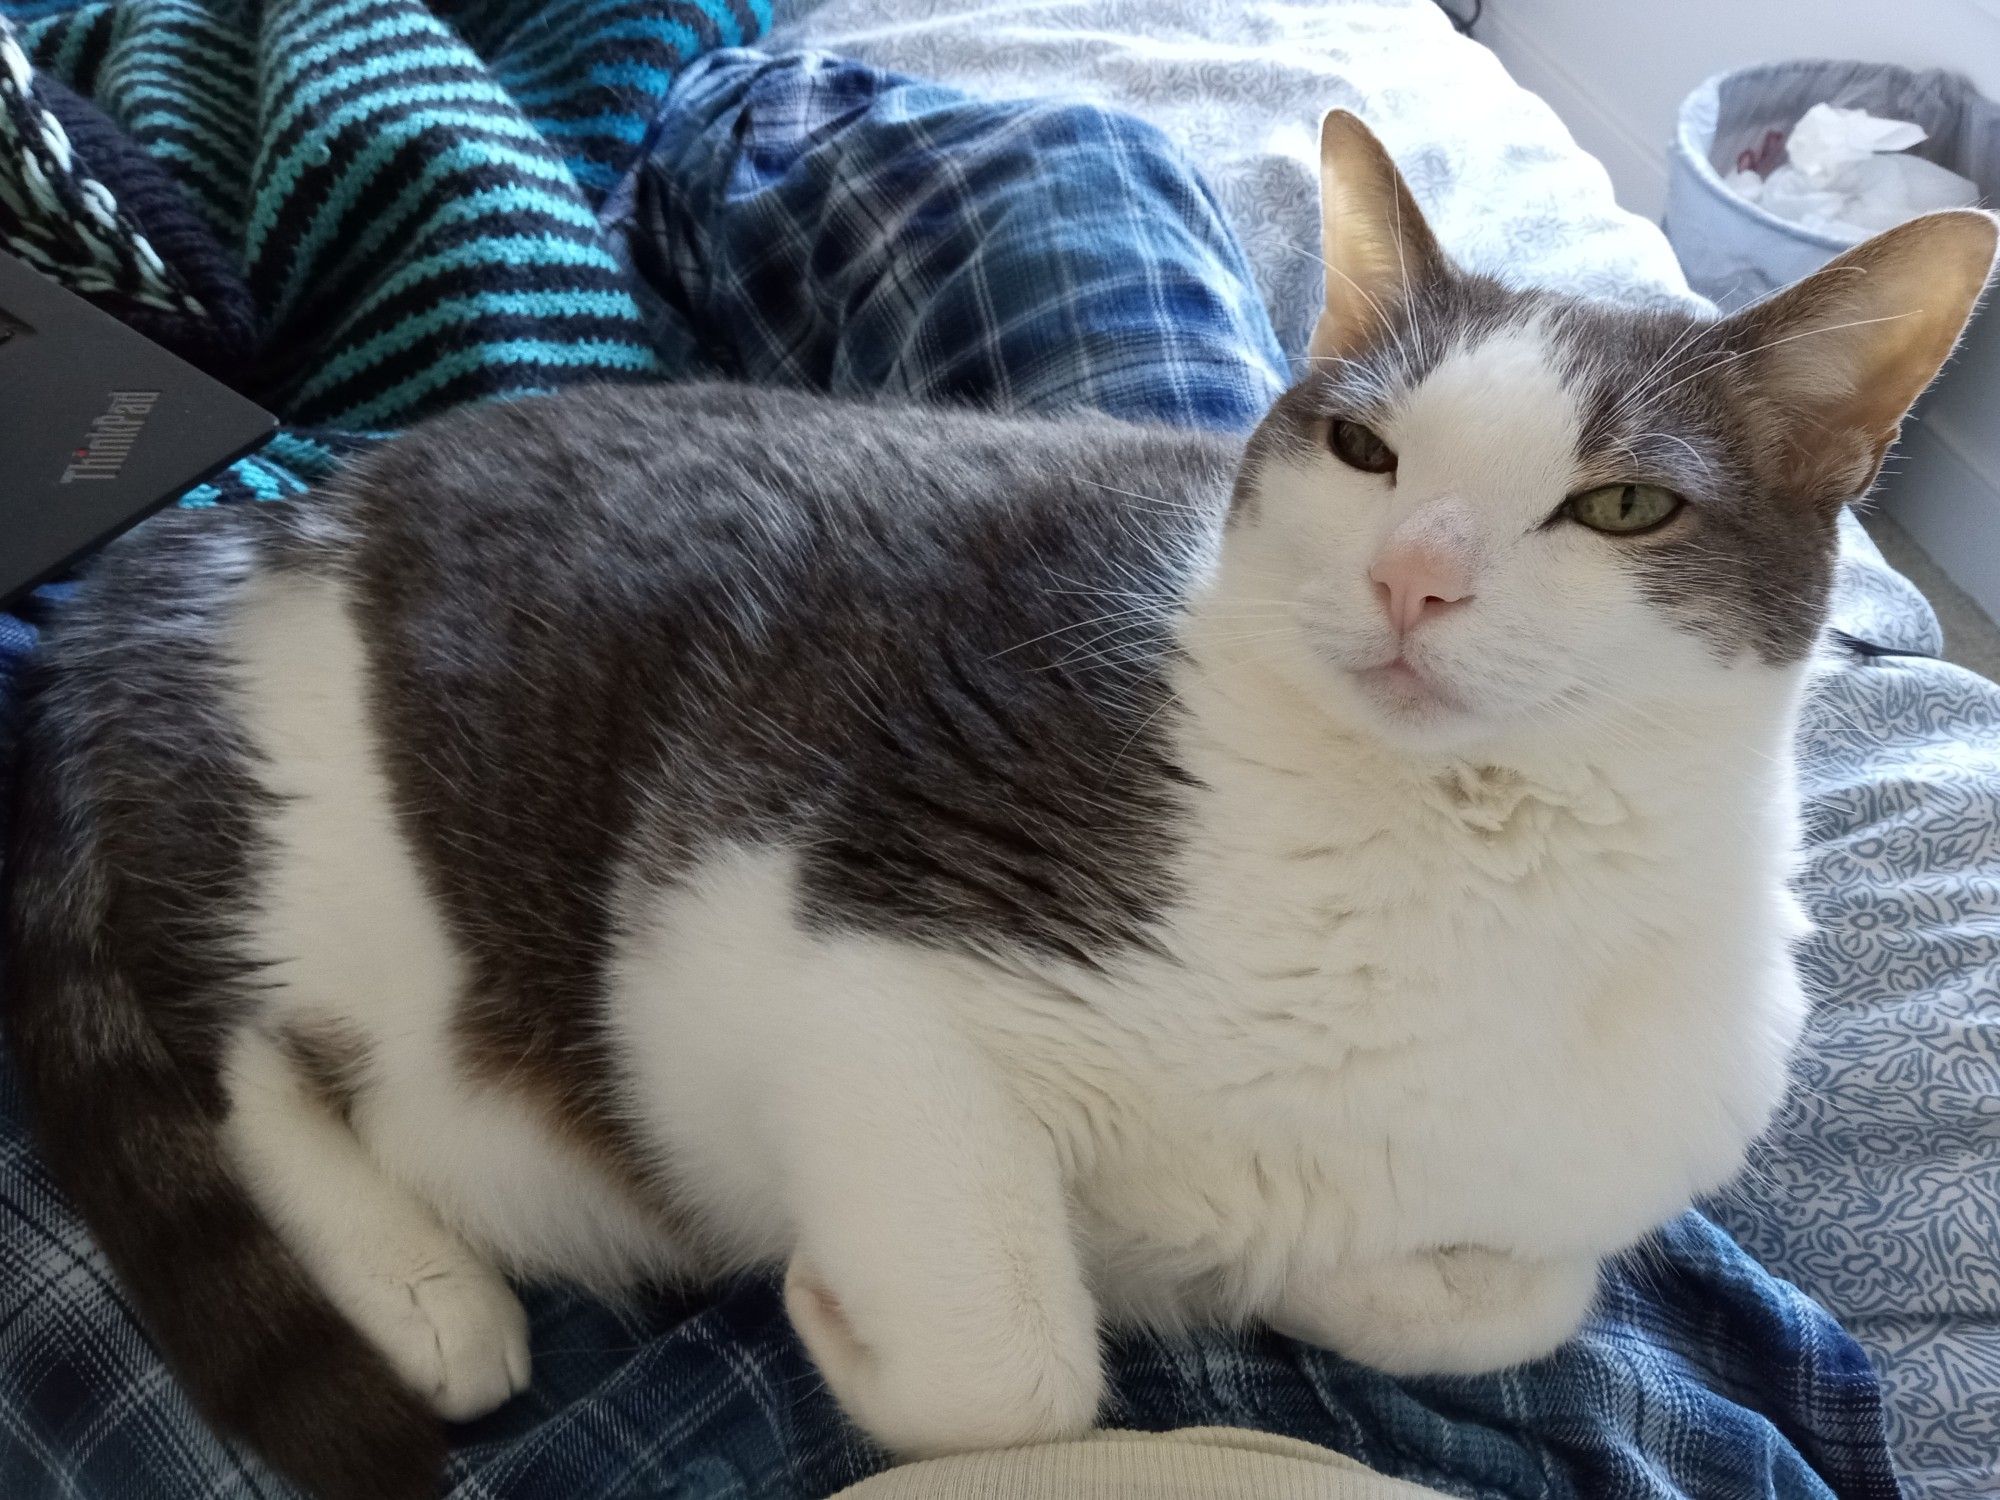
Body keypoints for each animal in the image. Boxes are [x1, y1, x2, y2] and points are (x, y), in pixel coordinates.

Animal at [7, 117, 1992, 1500]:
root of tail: (260, 519)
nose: (1416, 577)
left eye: (1623, 507)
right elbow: (1019, 1374)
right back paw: (422, 1293)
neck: (1461, 855)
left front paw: (1269, 1272)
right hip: (345, 859)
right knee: (231, 1044)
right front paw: (853, 1318)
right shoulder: (832, 940)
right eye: (1366, 450)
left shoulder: (1571, 1195)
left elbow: (1522, 1296)